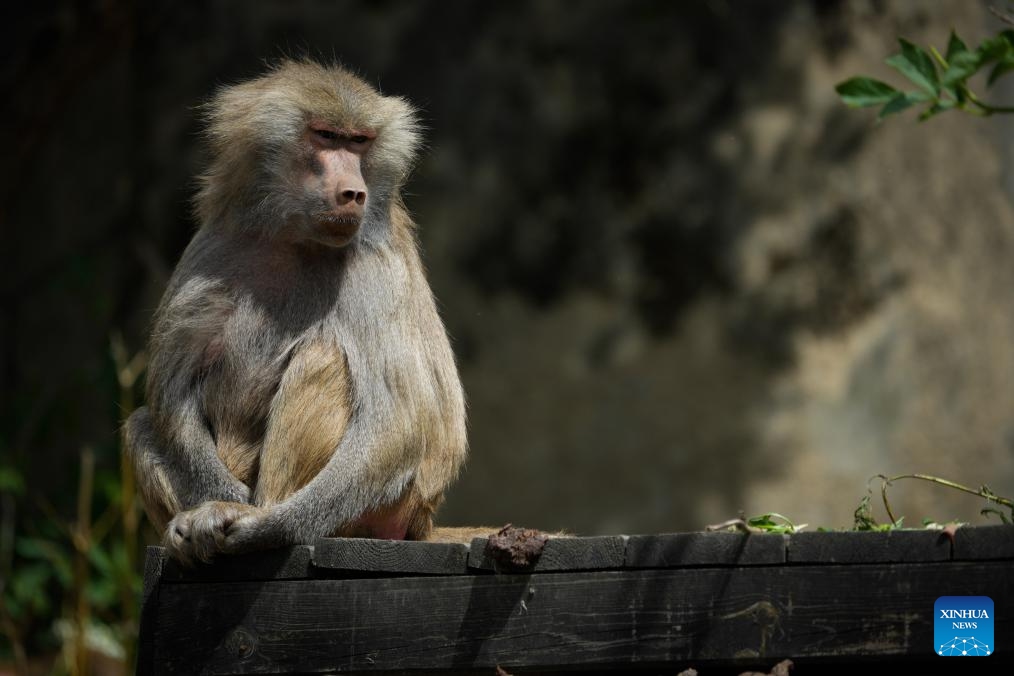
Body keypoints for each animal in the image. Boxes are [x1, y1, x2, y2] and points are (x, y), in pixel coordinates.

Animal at [122, 60, 472, 565]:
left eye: (359, 141)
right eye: (325, 136)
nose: (354, 193)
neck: (294, 239)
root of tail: (420, 525)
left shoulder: (373, 271)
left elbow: (401, 420)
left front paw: (257, 523)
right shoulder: (215, 245)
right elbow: (171, 393)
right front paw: (216, 507)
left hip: (382, 510)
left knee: (325, 359)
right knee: (139, 424)